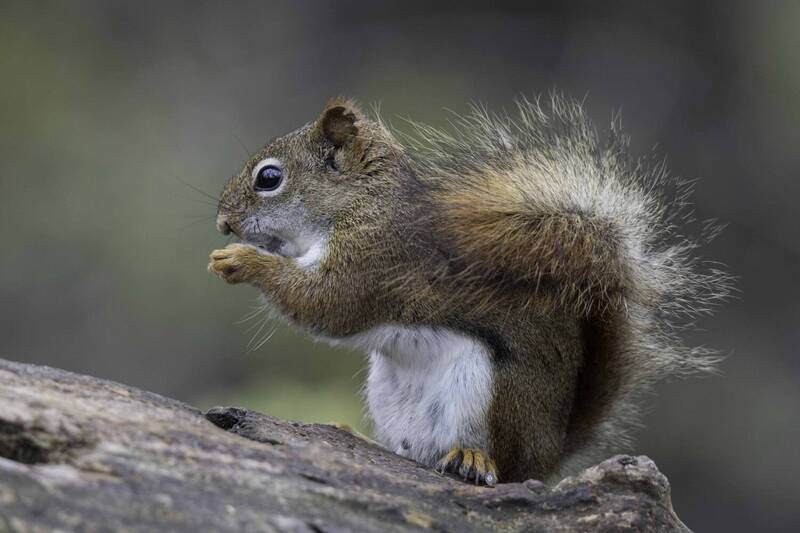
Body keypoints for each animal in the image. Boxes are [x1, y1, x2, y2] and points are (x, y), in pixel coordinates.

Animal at [208, 96, 729, 487]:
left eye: (269, 178)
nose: (223, 223)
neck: (361, 202)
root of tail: (549, 457)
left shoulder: (374, 261)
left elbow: (325, 303)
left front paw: (241, 260)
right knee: (411, 452)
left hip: (488, 393)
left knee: (498, 464)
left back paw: (475, 460)